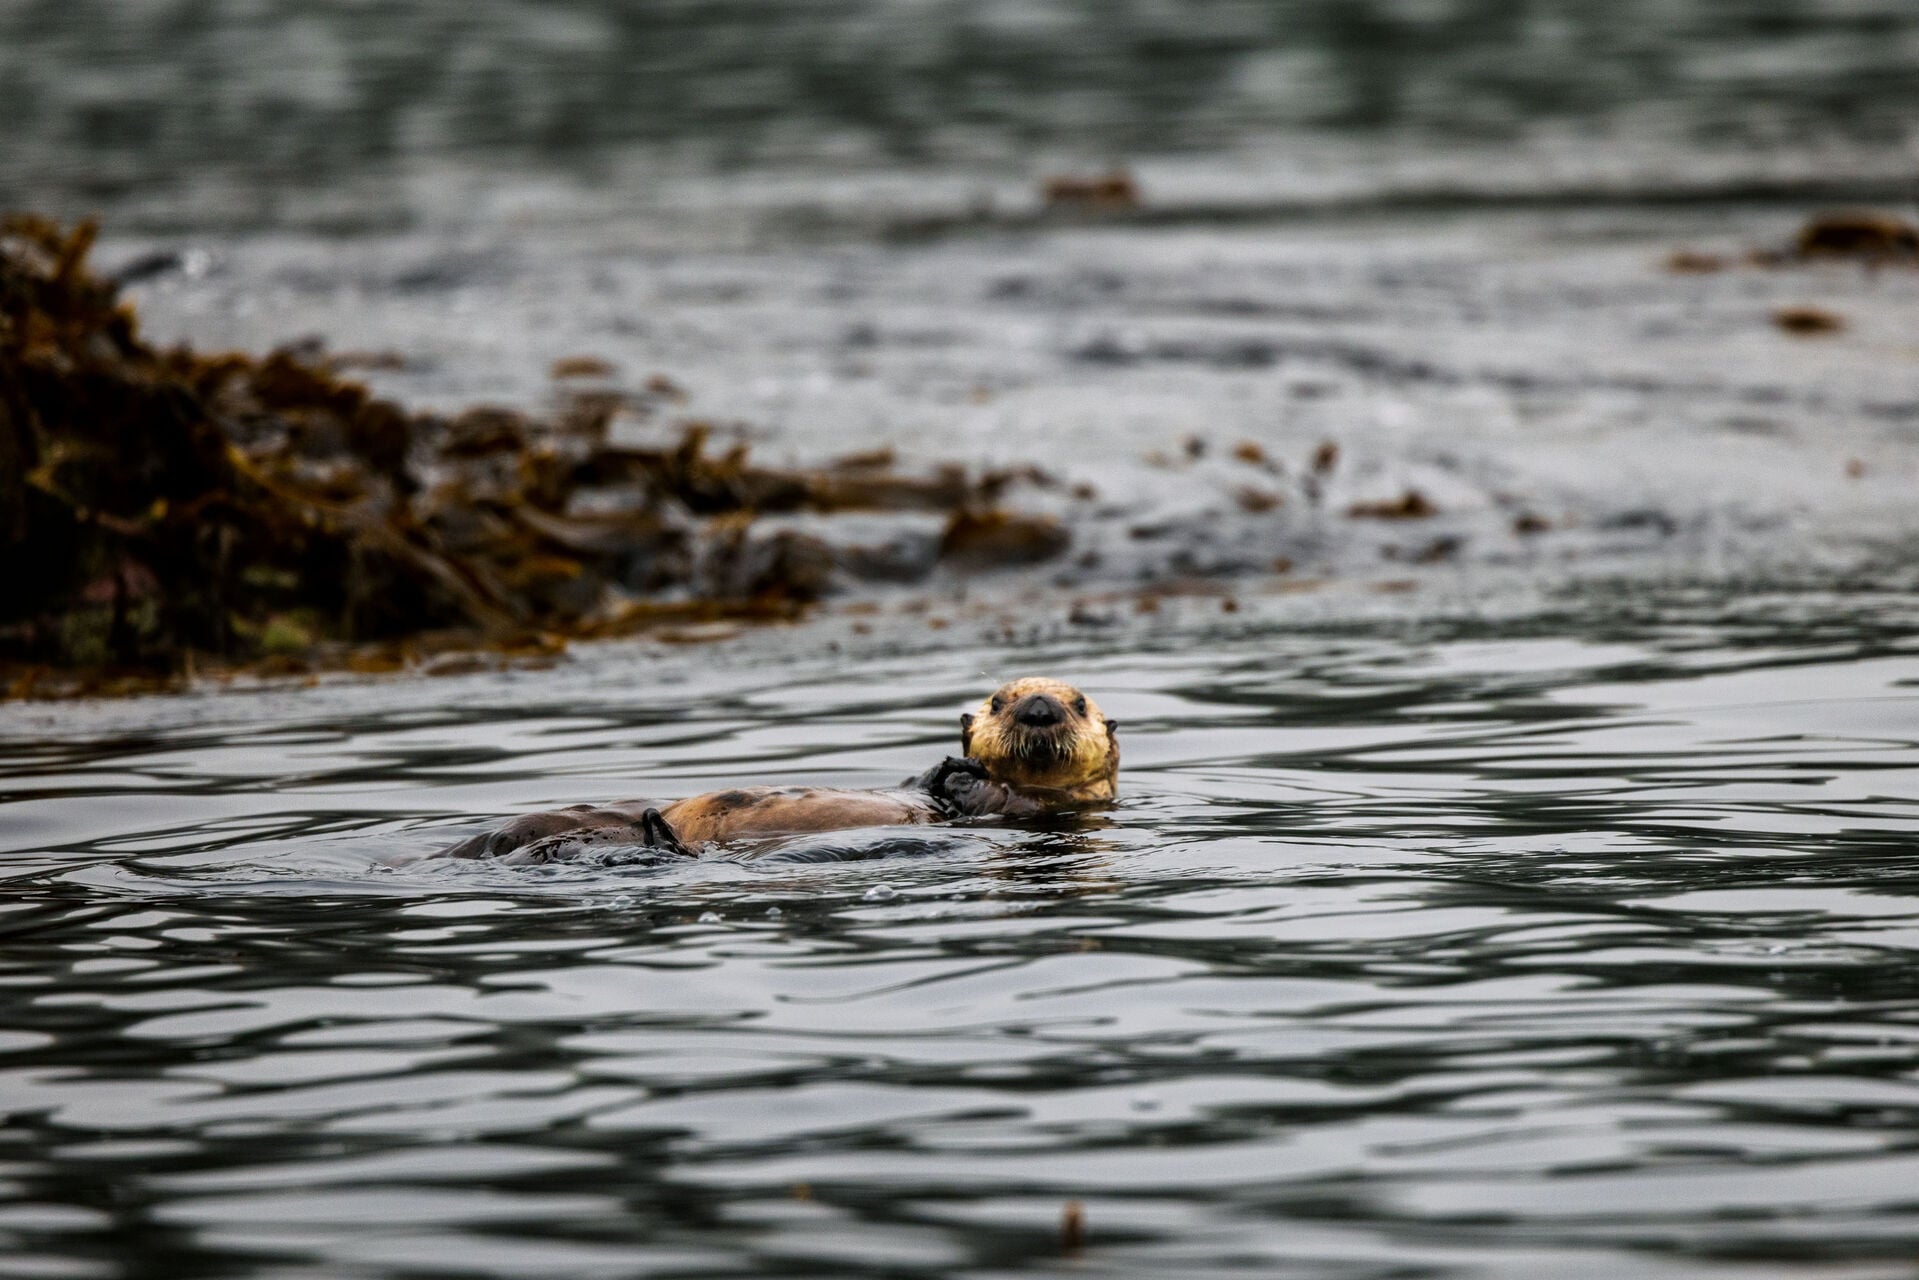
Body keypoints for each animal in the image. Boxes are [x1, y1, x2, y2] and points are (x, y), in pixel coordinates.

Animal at [439, 678, 1119, 862]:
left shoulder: (1039, 809)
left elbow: (998, 800)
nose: (1037, 707)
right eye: (999, 700)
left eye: (1080, 702)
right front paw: (949, 766)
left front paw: (963, 776)